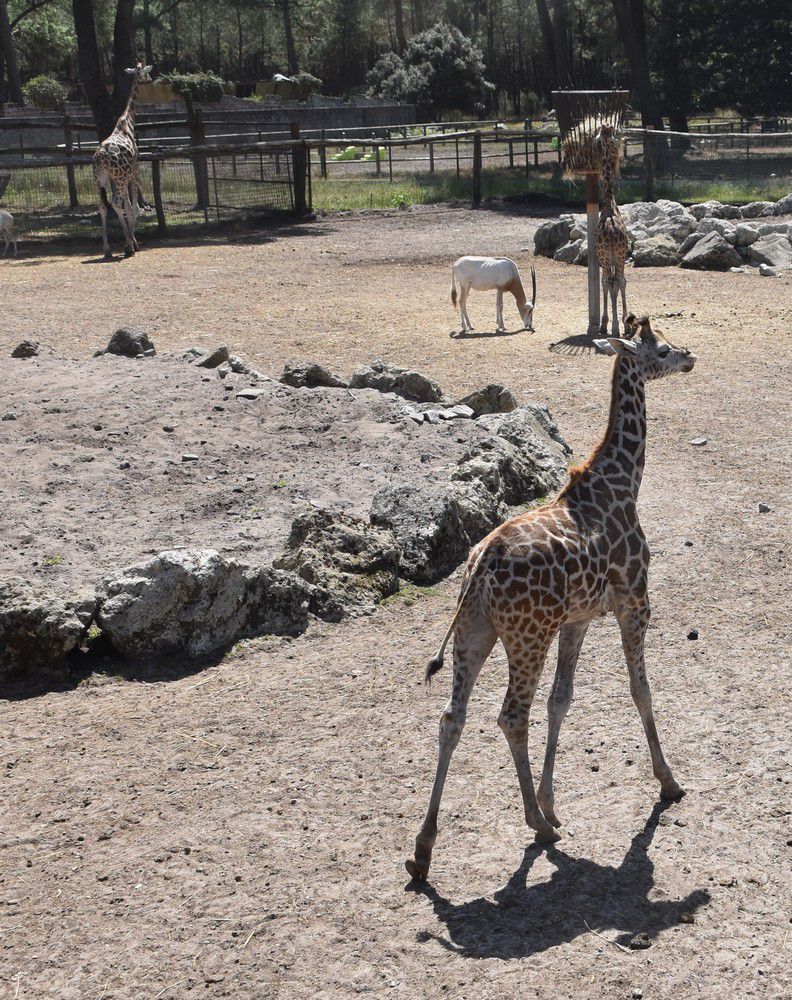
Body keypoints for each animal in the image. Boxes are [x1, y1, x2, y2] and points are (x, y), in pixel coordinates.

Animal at [92, 60, 152, 260]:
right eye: (145, 72)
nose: (150, 79)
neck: (128, 123)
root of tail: (100, 159)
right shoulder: (134, 170)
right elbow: (133, 207)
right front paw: (132, 243)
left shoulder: (117, 177)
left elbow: (127, 204)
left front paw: (130, 241)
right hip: (119, 177)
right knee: (116, 203)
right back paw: (128, 248)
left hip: (100, 180)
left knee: (103, 206)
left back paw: (107, 250)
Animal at [406, 314, 696, 884]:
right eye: (662, 349)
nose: (690, 357)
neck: (624, 481)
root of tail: (479, 569)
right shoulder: (635, 602)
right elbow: (641, 690)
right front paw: (668, 782)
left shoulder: (578, 619)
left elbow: (562, 701)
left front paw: (552, 801)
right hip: (526, 636)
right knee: (509, 716)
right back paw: (538, 829)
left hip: (475, 633)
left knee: (453, 718)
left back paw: (424, 851)